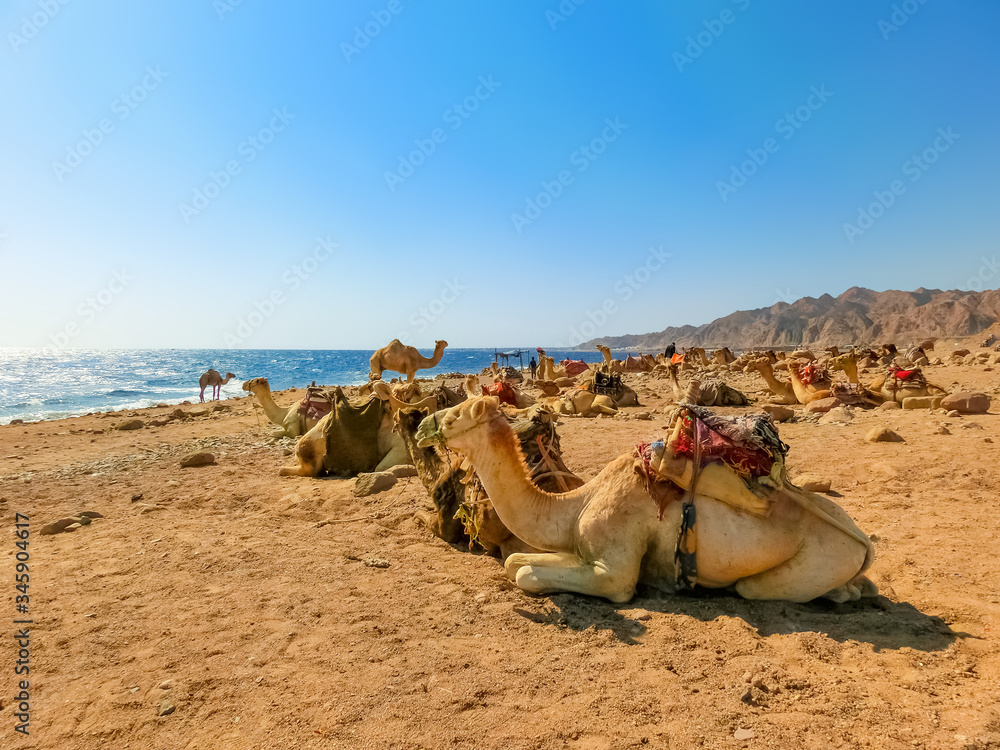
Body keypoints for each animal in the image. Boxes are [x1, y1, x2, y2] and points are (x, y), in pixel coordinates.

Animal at [415, 397, 876, 603]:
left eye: (455, 415)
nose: (421, 428)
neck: (575, 505)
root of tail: (863, 540)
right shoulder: (582, 549)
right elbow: (515, 562)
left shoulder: (613, 570)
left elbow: (530, 574)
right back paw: (853, 590)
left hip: (816, 558)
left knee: (751, 587)